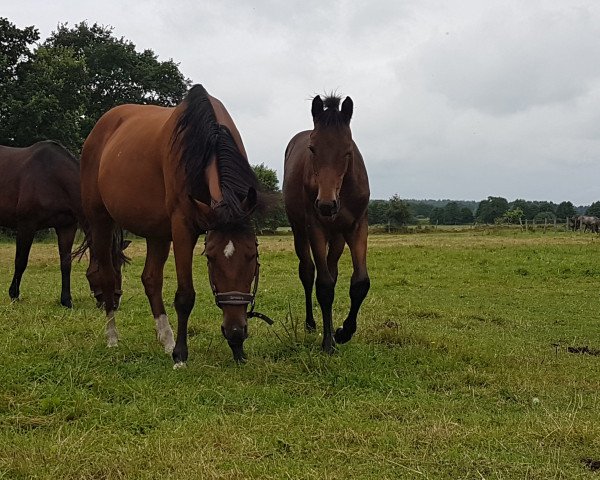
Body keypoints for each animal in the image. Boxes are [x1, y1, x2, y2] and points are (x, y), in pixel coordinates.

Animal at [0, 142, 119, 308]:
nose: (114, 303)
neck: (53, 178)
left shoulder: (67, 227)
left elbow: (66, 263)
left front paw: (66, 300)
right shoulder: (26, 225)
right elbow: (21, 261)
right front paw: (14, 295)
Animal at [79, 85, 268, 364]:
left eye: (252, 255)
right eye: (210, 257)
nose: (235, 331)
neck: (204, 140)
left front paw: (236, 350)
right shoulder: (182, 228)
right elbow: (185, 296)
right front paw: (180, 355)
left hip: (156, 232)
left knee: (151, 279)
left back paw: (165, 339)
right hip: (100, 220)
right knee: (107, 276)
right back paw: (113, 337)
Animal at [282, 95, 370, 354]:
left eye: (348, 150)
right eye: (312, 148)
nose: (326, 205)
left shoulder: (357, 227)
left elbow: (360, 283)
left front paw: (343, 332)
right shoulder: (316, 229)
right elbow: (324, 286)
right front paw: (329, 343)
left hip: (338, 237)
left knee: (333, 270)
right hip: (300, 232)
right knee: (308, 272)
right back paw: (311, 324)